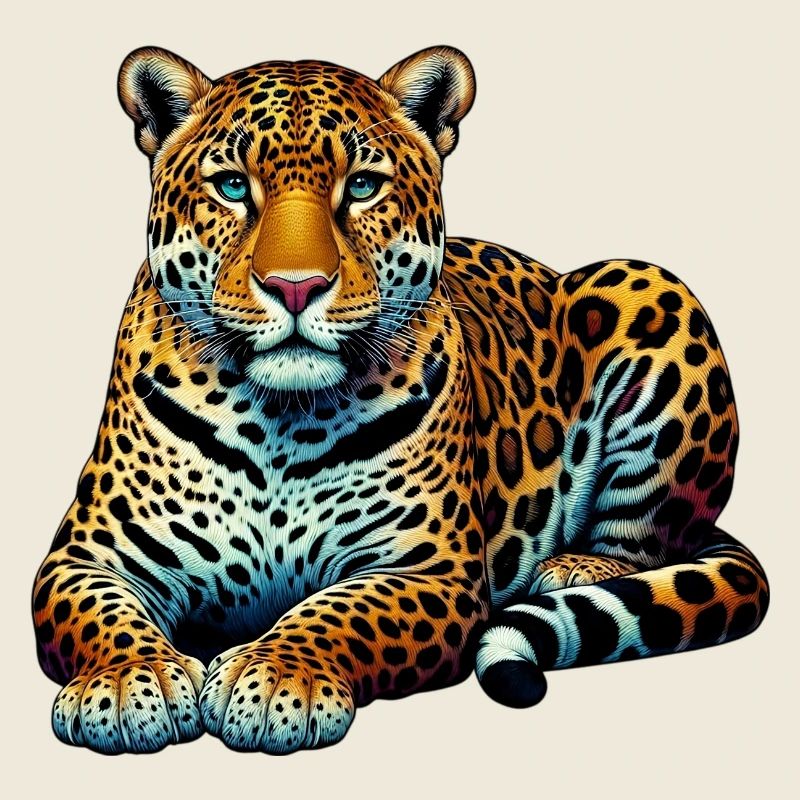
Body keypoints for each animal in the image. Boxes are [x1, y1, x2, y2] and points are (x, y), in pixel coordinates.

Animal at [32, 45, 769, 754]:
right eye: (233, 186)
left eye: (362, 186)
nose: (295, 287)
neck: (276, 420)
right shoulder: (87, 557)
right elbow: (99, 615)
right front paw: (129, 683)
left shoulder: (428, 570)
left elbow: (343, 614)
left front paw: (278, 677)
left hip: (648, 285)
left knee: (651, 537)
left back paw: (574, 568)